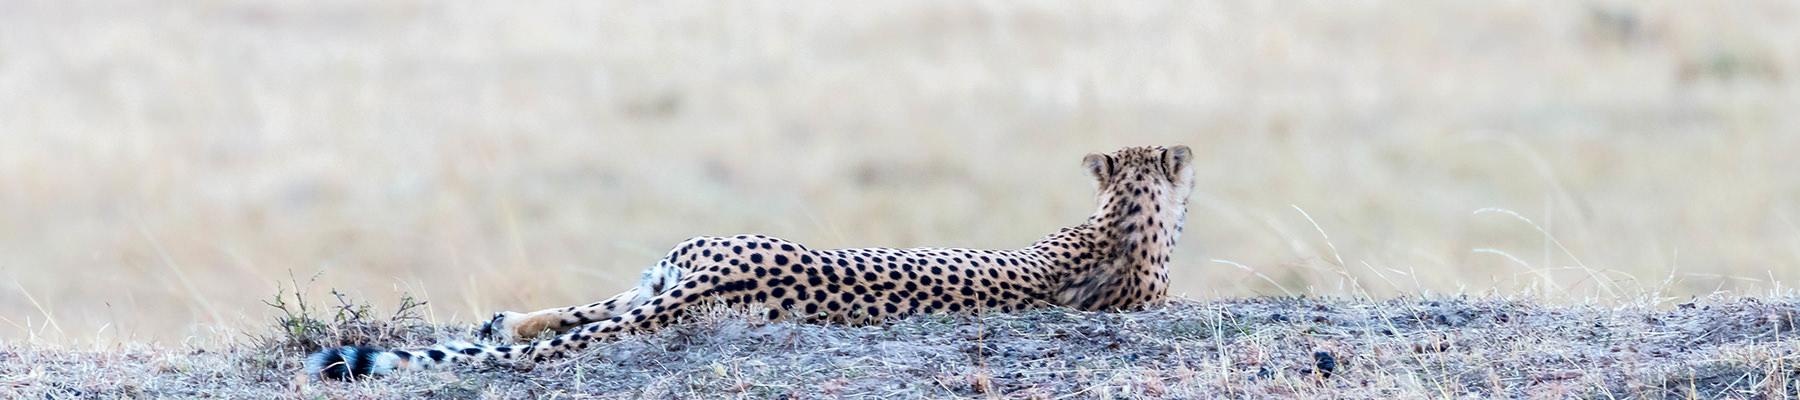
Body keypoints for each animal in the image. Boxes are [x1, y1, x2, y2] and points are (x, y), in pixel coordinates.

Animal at [307, 145, 1195, 380]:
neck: (1125, 215)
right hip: (677, 271)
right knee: (591, 314)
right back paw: (506, 322)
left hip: (668, 276)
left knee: (588, 314)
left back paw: (506, 322)